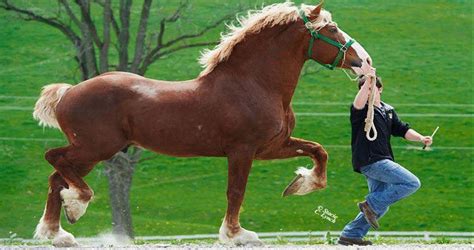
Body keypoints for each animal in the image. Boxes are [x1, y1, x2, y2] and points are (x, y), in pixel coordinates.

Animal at [33, 1, 372, 246]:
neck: (254, 84)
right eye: (332, 28)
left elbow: (318, 151)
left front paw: (301, 184)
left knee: (56, 177)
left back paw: (58, 234)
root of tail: (67, 93)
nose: (364, 61)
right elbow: (236, 191)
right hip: (96, 147)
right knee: (54, 161)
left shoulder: (271, 147)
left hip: (92, 151)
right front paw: (237, 235)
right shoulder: (242, 151)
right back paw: (75, 205)